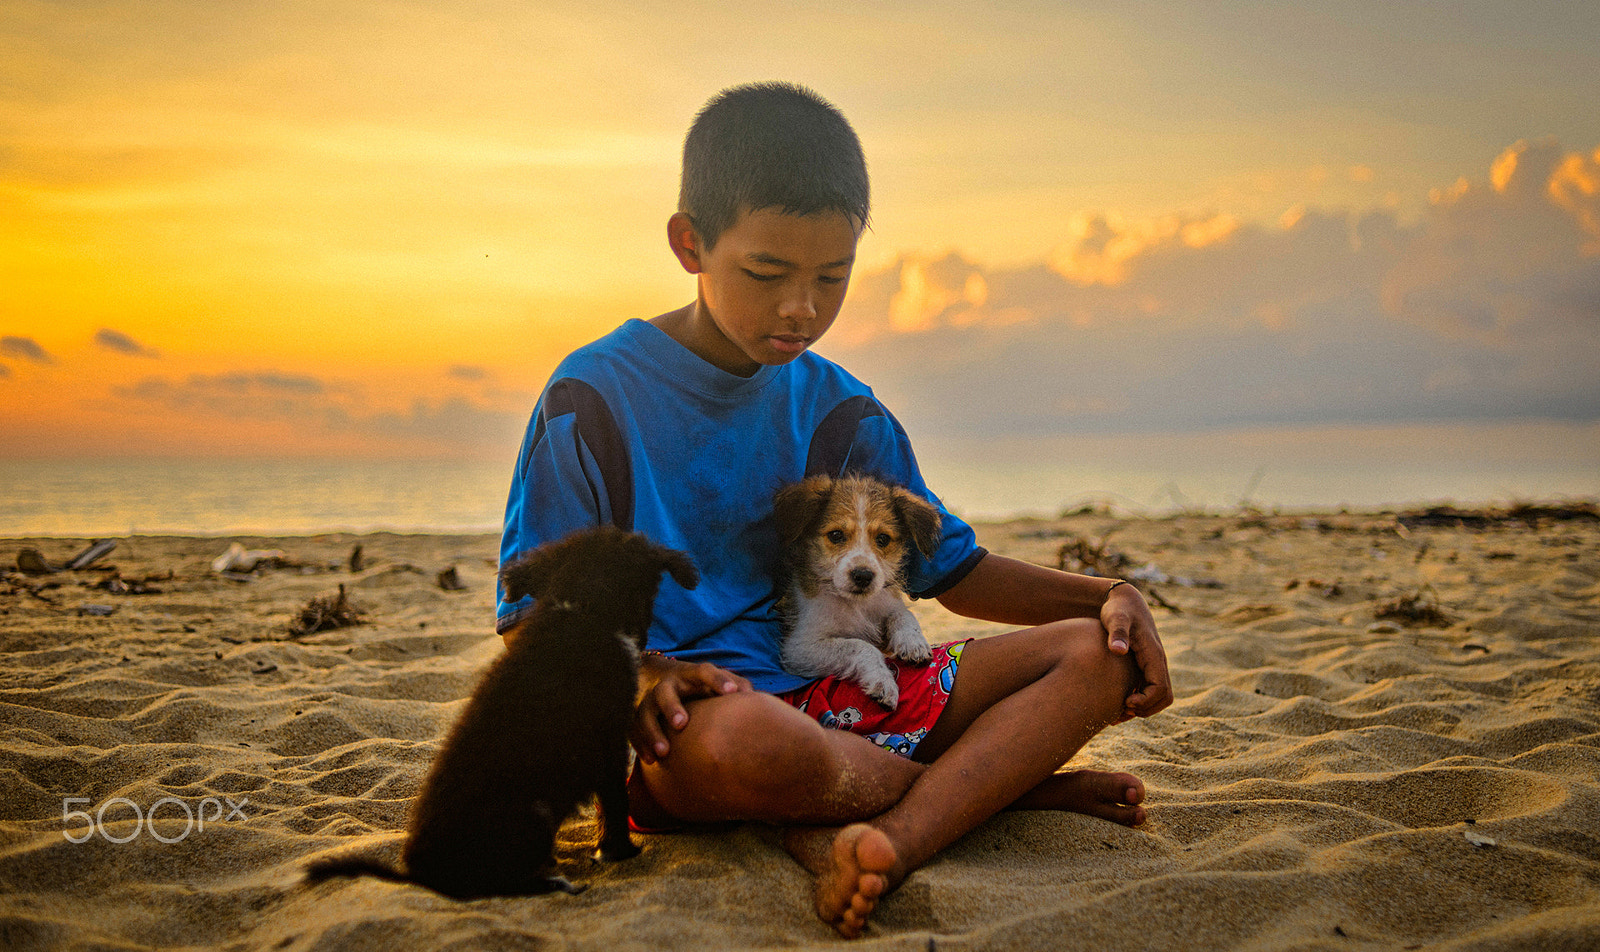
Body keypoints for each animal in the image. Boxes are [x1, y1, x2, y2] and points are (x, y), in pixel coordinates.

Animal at [305, 524, 694, 896]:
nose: (643, 641)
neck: (582, 609)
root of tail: (421, 876)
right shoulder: (608, 741)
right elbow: (615, 801)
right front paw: (620, 851)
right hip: (533, 816)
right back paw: (551, 882)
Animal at [771, 473, 940, 710]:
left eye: (883, 539)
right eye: (836, 535)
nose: (863, 576)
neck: (855, 604)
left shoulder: (887, 600)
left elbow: (903, 613)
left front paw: (913, 642)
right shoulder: (799, 647)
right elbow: (859, 645)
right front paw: (883, 682)